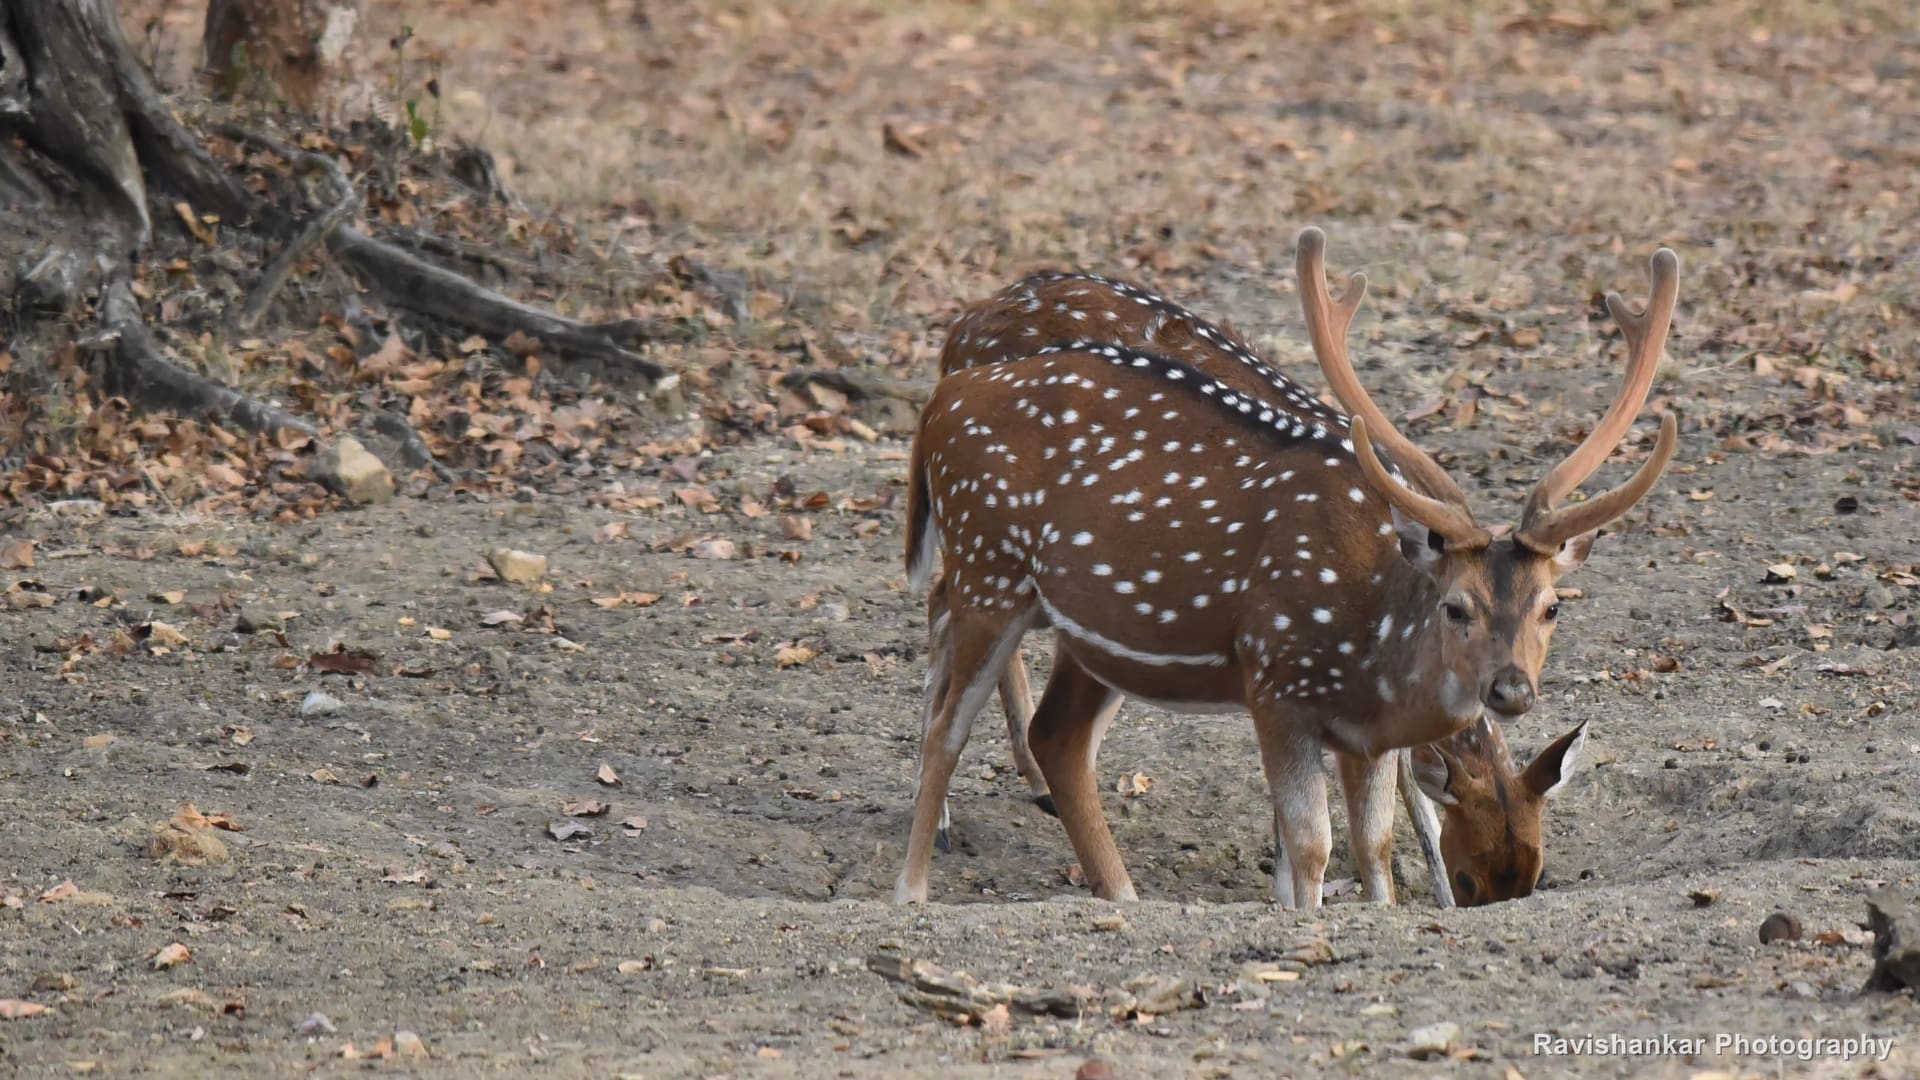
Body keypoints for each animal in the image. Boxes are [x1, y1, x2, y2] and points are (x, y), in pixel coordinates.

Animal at [895, 226, 1677, 907]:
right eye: (1456, 605)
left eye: (1553, 606)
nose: (1511, 690)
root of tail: (943, 385)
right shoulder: (1278, 683)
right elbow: (1313, 845)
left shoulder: (1357, 733)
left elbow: (1374, 843)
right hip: (988, 565)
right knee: (946, 709)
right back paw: (914, 886)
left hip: (1090, 625)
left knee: (1057, 734)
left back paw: (1118, 890)